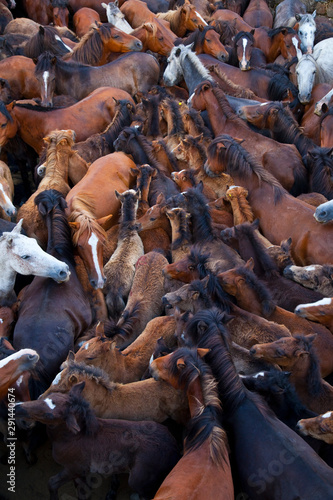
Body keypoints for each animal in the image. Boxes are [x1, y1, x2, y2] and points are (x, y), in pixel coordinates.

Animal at [15, 380, 180, 498]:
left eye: (49, 415)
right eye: (50, 397)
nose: (17, 407)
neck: (71, 438)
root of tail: (174, 447)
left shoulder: (73, 468)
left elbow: (52, 483)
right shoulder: (78, 473)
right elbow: (79, 489)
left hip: (138, 481)